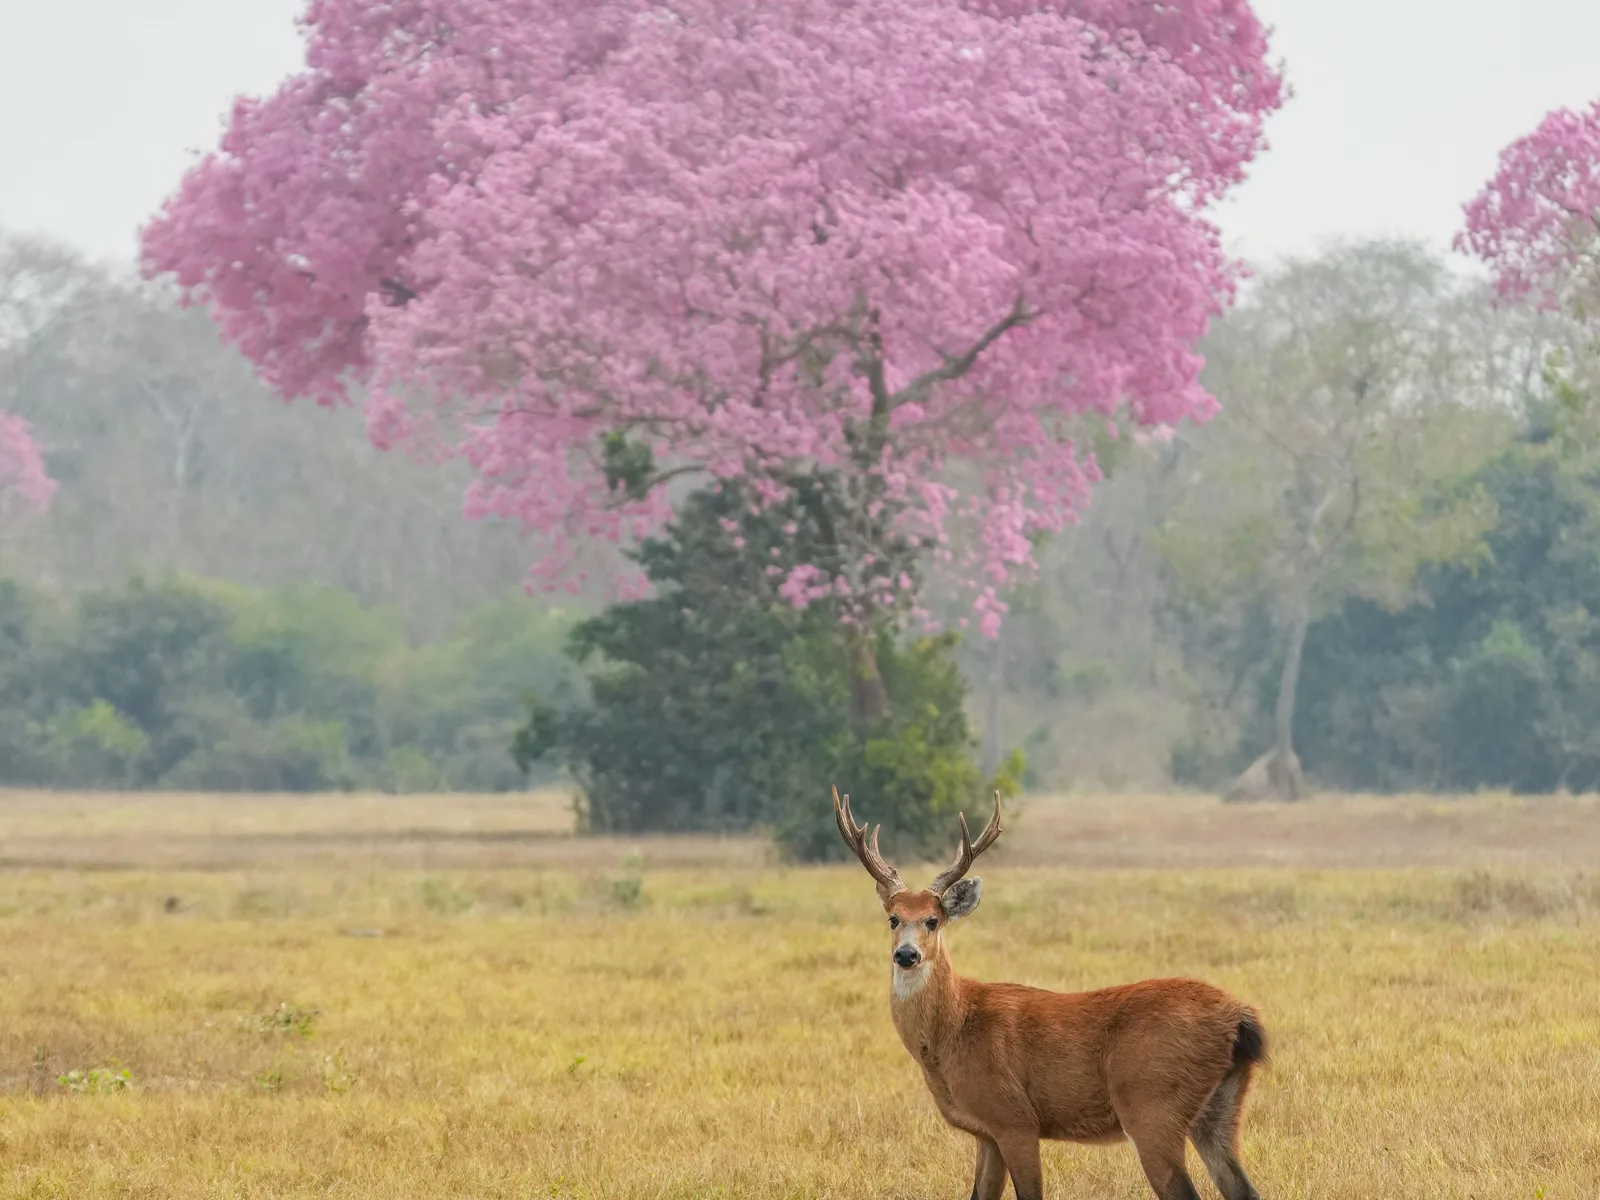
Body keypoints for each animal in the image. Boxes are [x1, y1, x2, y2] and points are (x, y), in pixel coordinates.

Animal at [832, 786, 1267, 1200]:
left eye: (933, 920)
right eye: (893, 918)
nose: (907, 954)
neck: (953, 1029)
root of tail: (1239, 1017)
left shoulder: (1014, 1119)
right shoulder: (986, 1133)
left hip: (1152, 1104)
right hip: (1220, 1107)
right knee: (1243, 1188)